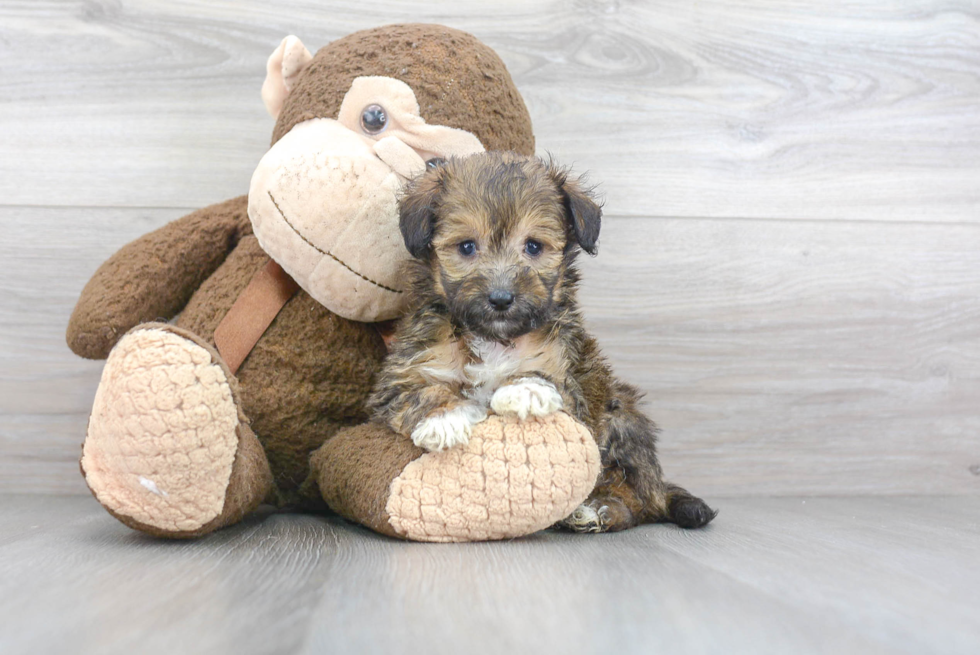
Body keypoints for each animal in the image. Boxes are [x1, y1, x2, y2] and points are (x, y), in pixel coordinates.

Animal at [364, 154, 716, 532]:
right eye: (467, 247)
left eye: (533, 246)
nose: (501, 298)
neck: (494, 337)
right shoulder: (405, 367)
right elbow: (418, 390)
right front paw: (444, 418)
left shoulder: (569, 375)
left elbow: (545, 375)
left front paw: (526, 390)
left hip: (620, 416)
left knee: (638, 499)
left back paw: (599, 509)